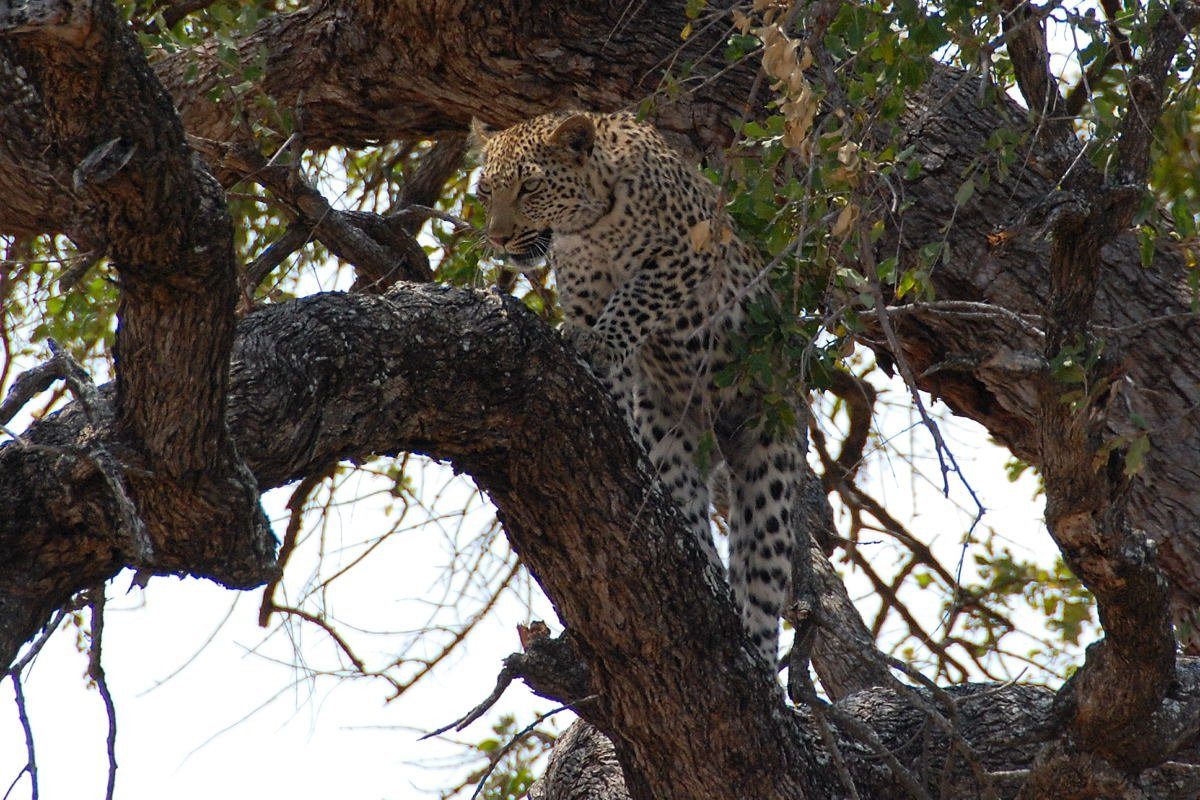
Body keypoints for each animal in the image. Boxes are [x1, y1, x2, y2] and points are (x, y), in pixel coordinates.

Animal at [472, 110, 805, 665]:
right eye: (484, 191)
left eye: (529, 187)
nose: (497, 239)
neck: (589, 227)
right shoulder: (586, 290)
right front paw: (598, 365)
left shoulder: (687, 254)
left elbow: (636, 299)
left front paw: (599, 340)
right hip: (669, 432)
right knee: (690, 508)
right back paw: (702, 559)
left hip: (769, 448)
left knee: (761, 570)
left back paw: (756, 653)